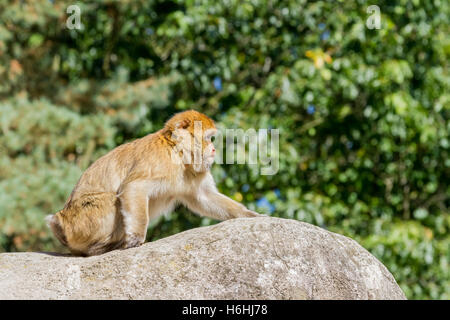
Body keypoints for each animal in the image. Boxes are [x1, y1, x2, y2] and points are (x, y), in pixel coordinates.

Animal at [46, 111, 262, 256]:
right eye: (209, 138)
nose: (214, 149)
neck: (177, 152)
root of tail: (60, 220)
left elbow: (204, 198)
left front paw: (249, 215)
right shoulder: (159, 160)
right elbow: (134, 187)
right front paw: (136, 238)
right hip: (81, 222)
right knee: (111, 200)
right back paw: (98, 248)